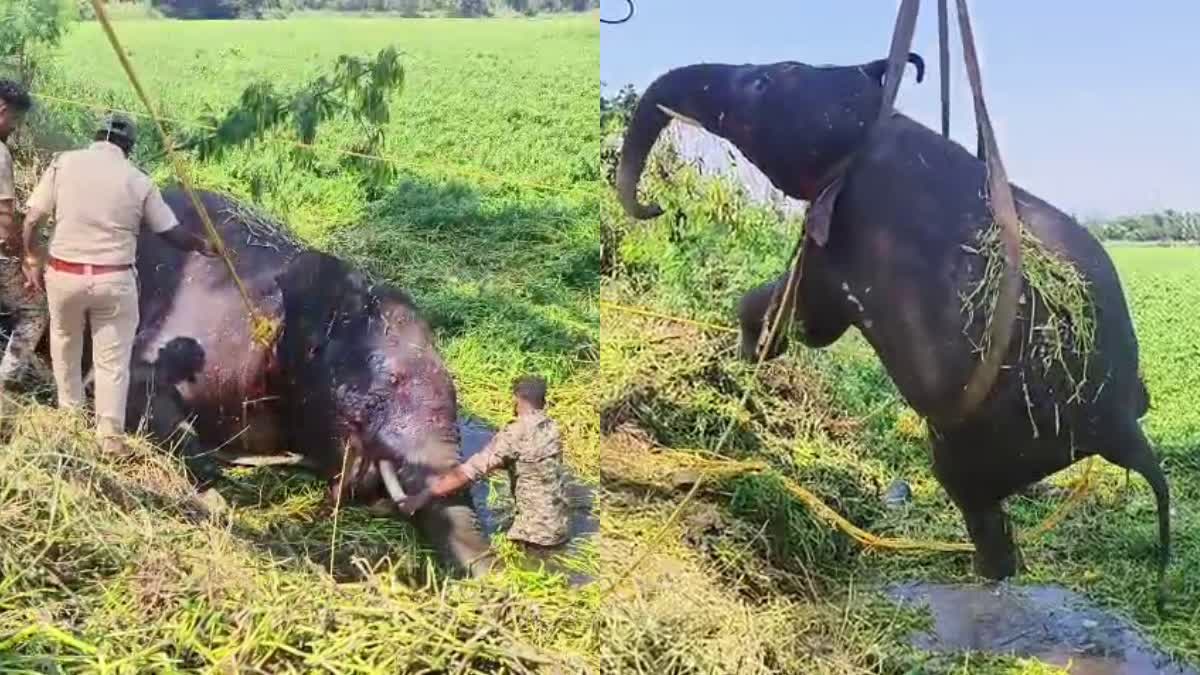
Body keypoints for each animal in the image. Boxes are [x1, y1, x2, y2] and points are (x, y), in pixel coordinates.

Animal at [614, 54, 1171, 606]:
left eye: (761, 83)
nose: (656, 207)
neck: (872, 124)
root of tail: (1120, 428)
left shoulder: (840, 233)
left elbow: (805, 311)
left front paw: (752, 345)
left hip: (987, 440)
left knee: (972, 498)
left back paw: (981, 578)